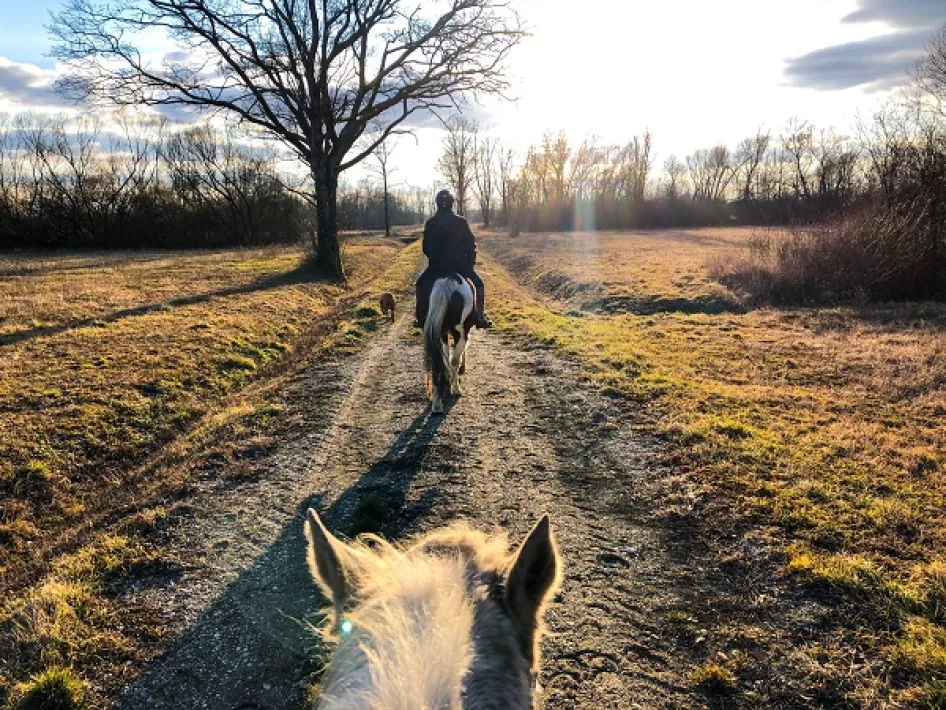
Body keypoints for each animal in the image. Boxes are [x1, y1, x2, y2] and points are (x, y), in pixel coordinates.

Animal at [424, 275, 475, 414]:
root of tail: (448, 281)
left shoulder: (443, 334)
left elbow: (445, 356)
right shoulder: (463, 332)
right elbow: (455, 358)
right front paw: (454, 382)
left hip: (440, 330)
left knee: (437, 360)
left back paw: (436, 402)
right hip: (460, 331)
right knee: (454, 360)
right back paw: (456, 389)